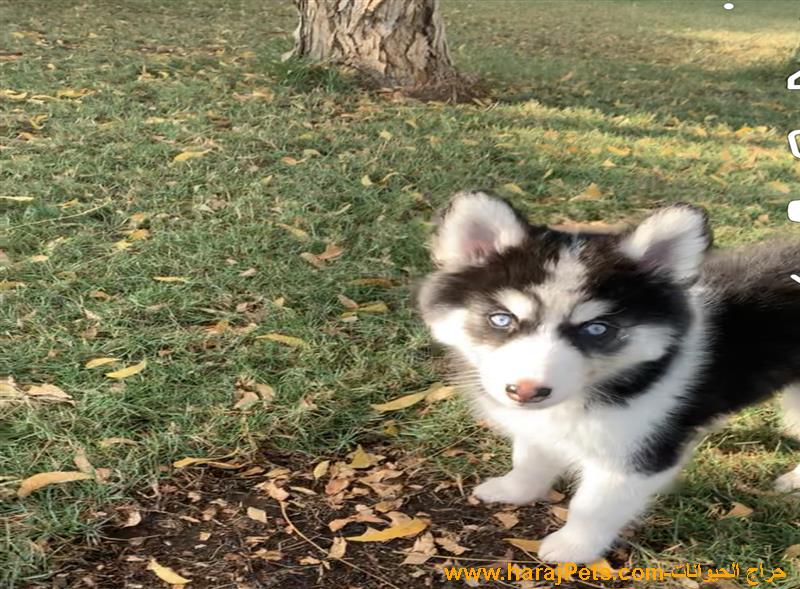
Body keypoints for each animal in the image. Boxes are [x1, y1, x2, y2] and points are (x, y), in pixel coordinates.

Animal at [418, 192, 800, 560]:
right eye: (501, 319)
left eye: (597, 329)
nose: (526, 392)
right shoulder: (542, 426)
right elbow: (530, 457)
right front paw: (515, 489)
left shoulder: (639, 453)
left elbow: (594, 506)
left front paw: (574, 547)